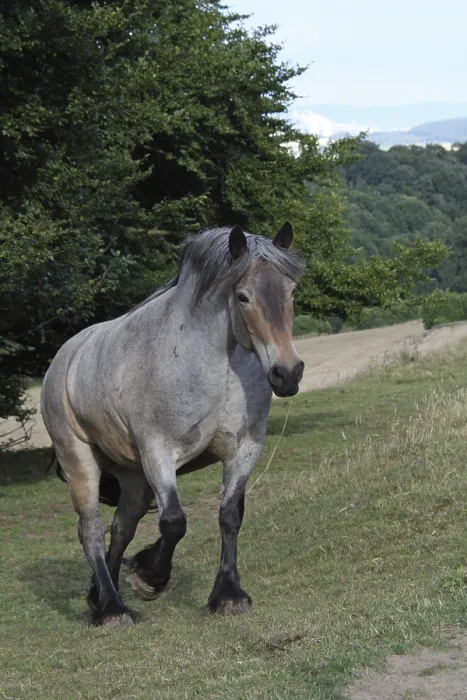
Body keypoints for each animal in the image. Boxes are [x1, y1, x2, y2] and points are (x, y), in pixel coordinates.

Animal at [41, 223, 305, 627]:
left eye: (291, 291)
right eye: (242, 296)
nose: (287, 373)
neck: (214, 366)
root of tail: (63, 359)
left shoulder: (244, 449)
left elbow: (230, 515)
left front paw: (229, 595)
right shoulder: (159, 453)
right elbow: (174, 522)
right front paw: (150, 578)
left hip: (133, 479)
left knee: (121, 528)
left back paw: (100, 595)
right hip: (80, 462)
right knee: (91, 531)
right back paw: (113, 608)